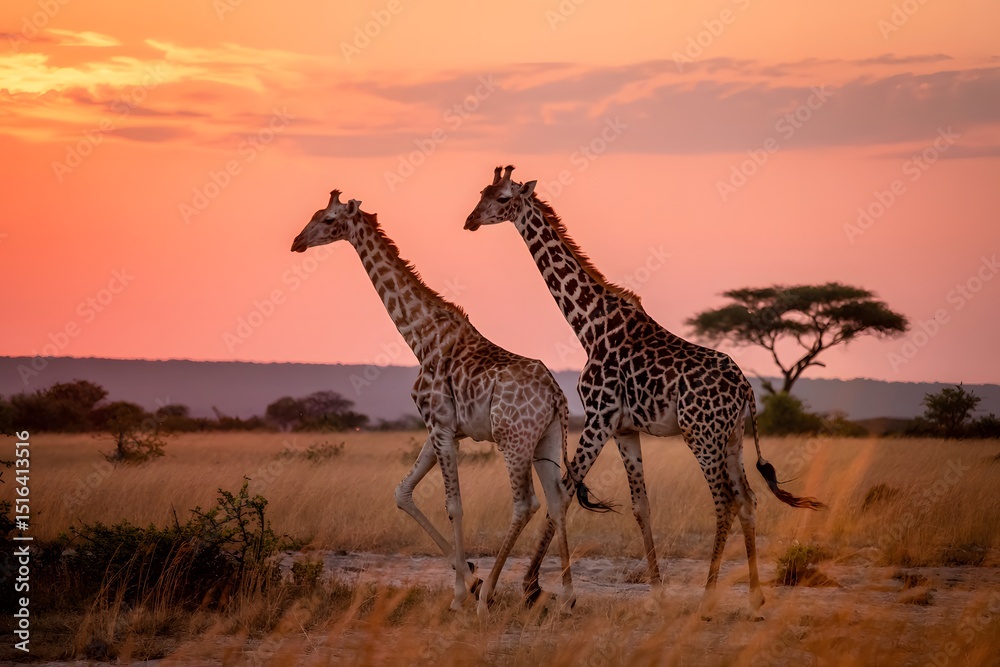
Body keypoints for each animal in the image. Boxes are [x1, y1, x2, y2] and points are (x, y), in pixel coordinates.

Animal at [290, 189, 578, 615]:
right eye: (313, 213)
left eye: (328, 220)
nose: (297, 242)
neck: (420, 335)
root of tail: (557, 395)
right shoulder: (442, 430)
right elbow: (402, 492)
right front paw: (470, 578)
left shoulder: (439, 425)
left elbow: (453, 504)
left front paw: (462, 594)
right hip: (547, 439)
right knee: (557, 500)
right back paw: (568, 598)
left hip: (514, 439)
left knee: (526, 503)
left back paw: (488, 599)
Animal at [464, 166, 825, 616]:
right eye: (482, 192)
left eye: (502, 198)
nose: (470, 221)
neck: (589, 325)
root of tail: (746, 391)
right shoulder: (624, 428)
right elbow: (641, 506)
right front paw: (657, 591)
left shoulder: (598, 416)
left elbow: (563, 491)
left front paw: (532, 586)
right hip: (732, 438)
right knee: (748, 499)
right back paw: (756, 594)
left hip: (701, 435)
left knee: (724, 500)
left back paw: (708, 596)